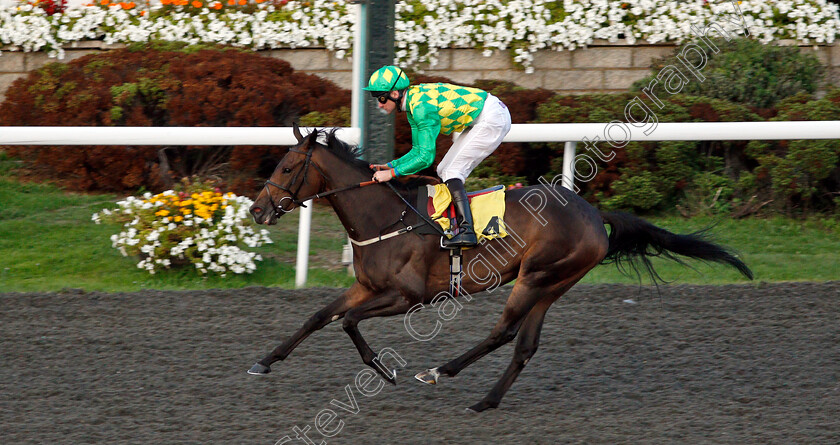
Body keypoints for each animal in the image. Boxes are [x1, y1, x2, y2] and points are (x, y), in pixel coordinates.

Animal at [246, 123, 752, 412]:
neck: (385, 218)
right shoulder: (368, 286)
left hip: (536, 276)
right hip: (551, 284)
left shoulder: (408, 297)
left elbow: (348, 321)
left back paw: (442, 372)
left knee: (504, 332)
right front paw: (264, 362)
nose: (257, 210)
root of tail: (593, 214)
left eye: (288, 166)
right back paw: (486, 401)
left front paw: (383, 370)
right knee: (525, 344)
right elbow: (319, 316)